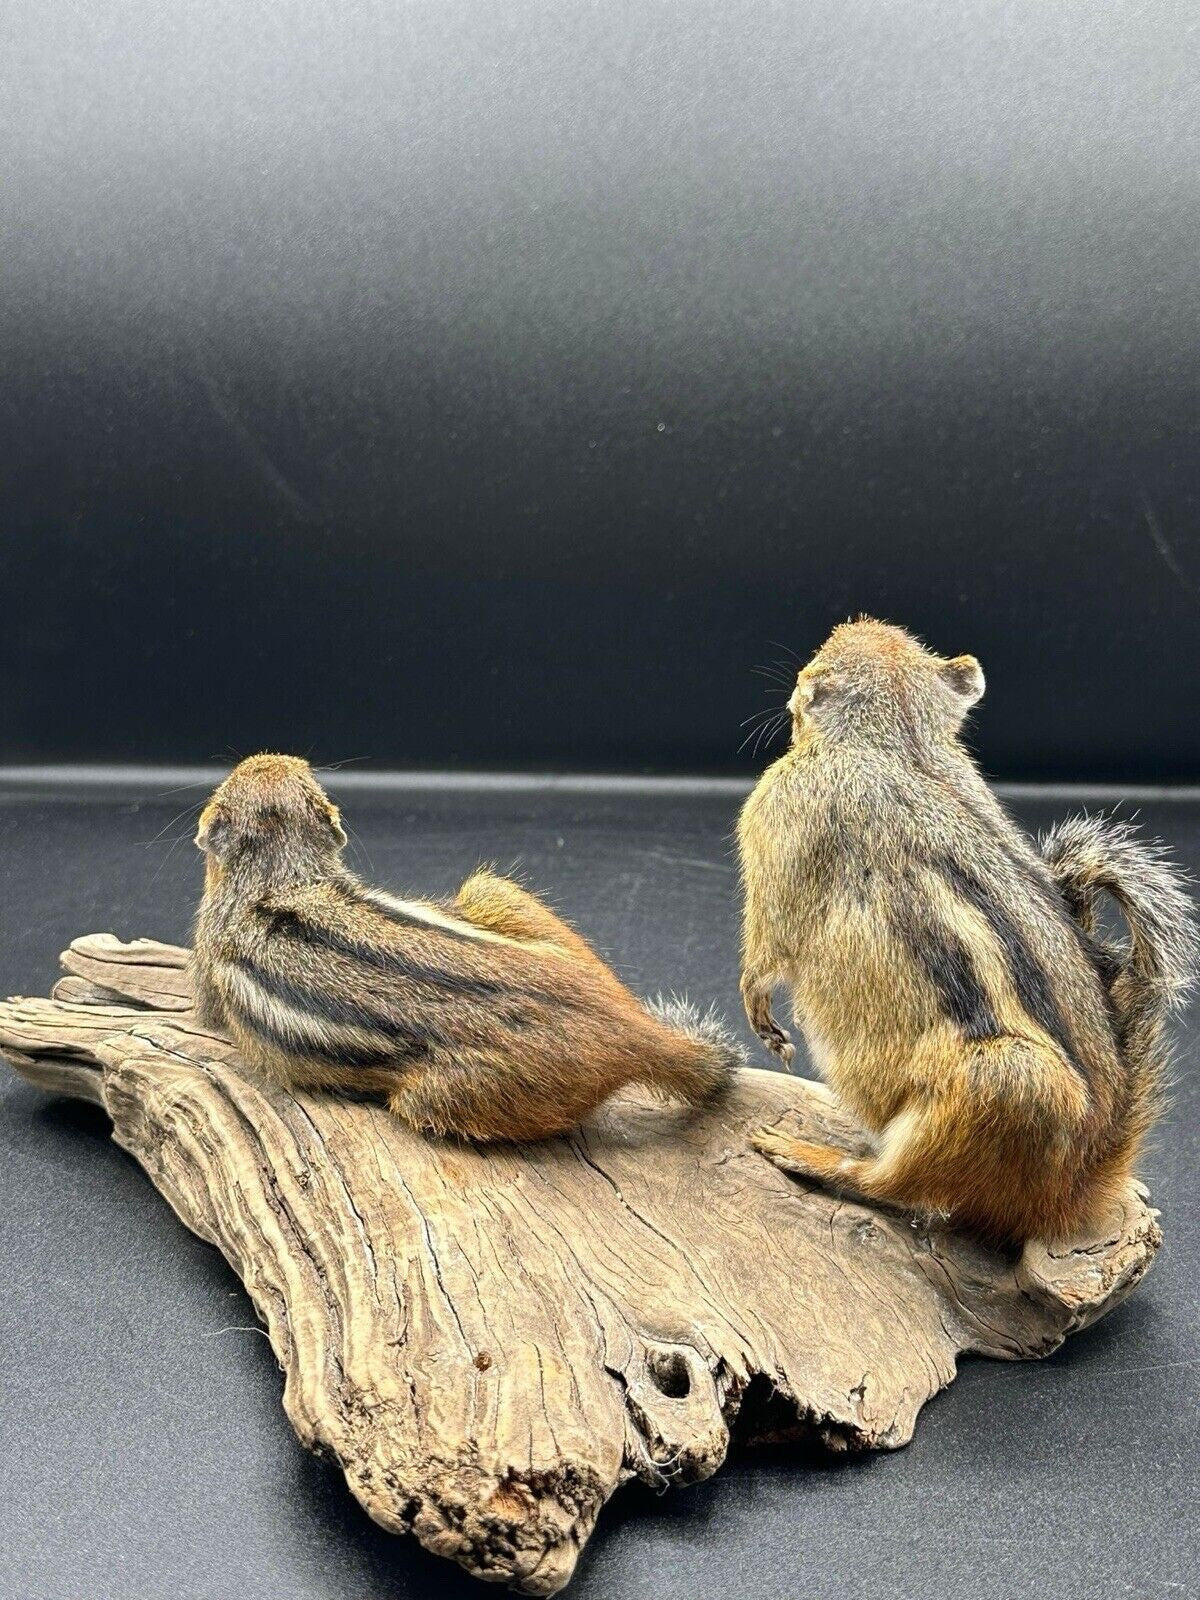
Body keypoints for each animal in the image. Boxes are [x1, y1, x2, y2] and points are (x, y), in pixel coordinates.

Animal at [190, 753, 744, 1141]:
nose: (271, 755)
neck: (281, 875)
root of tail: (628, 1027)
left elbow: (205, 1013)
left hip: (434, 1097)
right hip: (493, 892)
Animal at [737, 619, 1197, 1244]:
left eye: (815, 664)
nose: (796, 687)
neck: (901, 740)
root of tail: (1077, 1186)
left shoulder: (779, 828)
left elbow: (765, 948)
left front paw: (763, 1018)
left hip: (1000, 1082)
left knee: (893, 1184)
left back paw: (808, 1154)